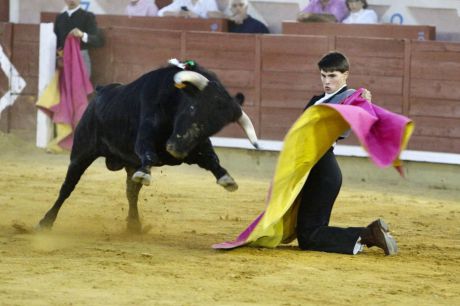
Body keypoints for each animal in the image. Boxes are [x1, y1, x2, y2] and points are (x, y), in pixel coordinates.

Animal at [39, 62, 258, 232]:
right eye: (192, 108)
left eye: (215, 127)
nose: (176, 150)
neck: (173, 103)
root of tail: (101, 91)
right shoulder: (145, 137)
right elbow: (149, 153)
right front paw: (145, 173)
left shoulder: (197, 147)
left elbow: (212, 159)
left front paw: (226, 179)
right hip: (81, 153)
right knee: (67, 187)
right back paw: (45, 222)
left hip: (129, 163)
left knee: (131, 193)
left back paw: (134, 225)